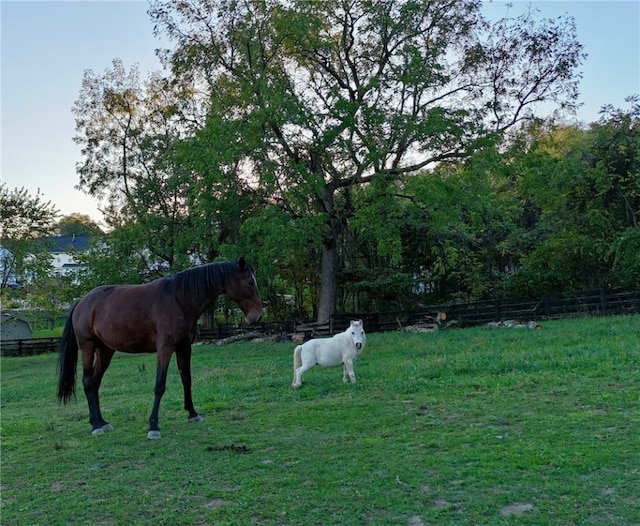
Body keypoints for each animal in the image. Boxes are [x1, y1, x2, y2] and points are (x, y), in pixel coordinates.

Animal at [57, 258, 262, 440]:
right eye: (249, 282)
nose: (258, 316)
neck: (180, 299)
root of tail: (82, 302)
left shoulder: (184, 348)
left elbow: (187, 380)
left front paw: (193, 414)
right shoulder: (165, 349)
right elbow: (160, 385)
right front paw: (153, 426)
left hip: (105, 351)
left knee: (95, 383)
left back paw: (100, 421)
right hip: (88, 347)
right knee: (87, 382)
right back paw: (97, 426)